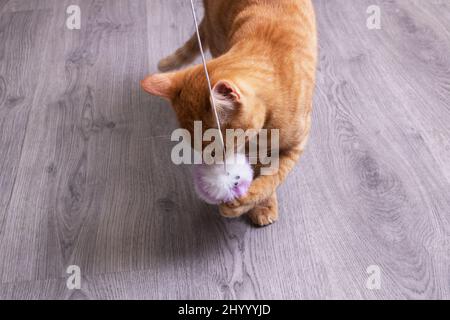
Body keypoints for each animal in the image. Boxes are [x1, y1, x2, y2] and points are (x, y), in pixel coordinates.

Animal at [142, 0, 318, 225]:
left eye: (217, 149)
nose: (213, 167)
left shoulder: (295, 146)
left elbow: (273, 176)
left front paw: (249, 200)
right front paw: (258, 203)